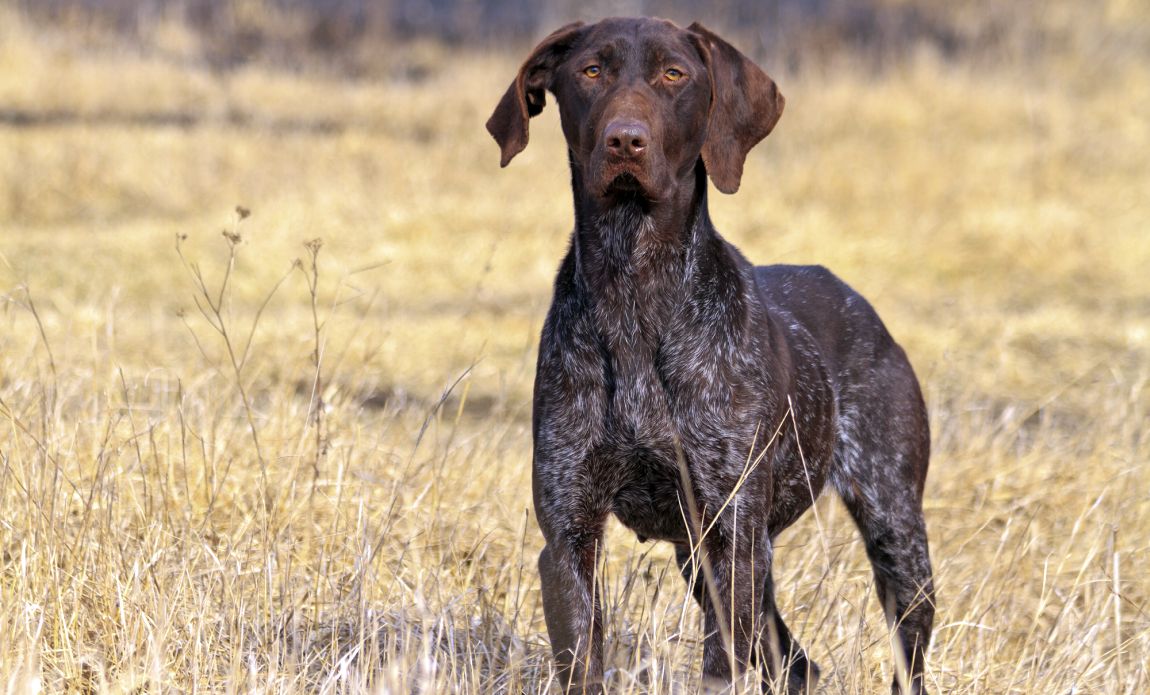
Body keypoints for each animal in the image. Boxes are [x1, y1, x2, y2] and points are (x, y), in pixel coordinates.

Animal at [485, 17, 933, 695]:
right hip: (707, 561)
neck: (635, 284)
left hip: (893, 528)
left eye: (675, 74)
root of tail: (859, 302)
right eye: (591, 71)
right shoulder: (568, 539)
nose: (625, 140)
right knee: (797, 664)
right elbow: (583, 660)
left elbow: (721, 668)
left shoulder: (733, 537)